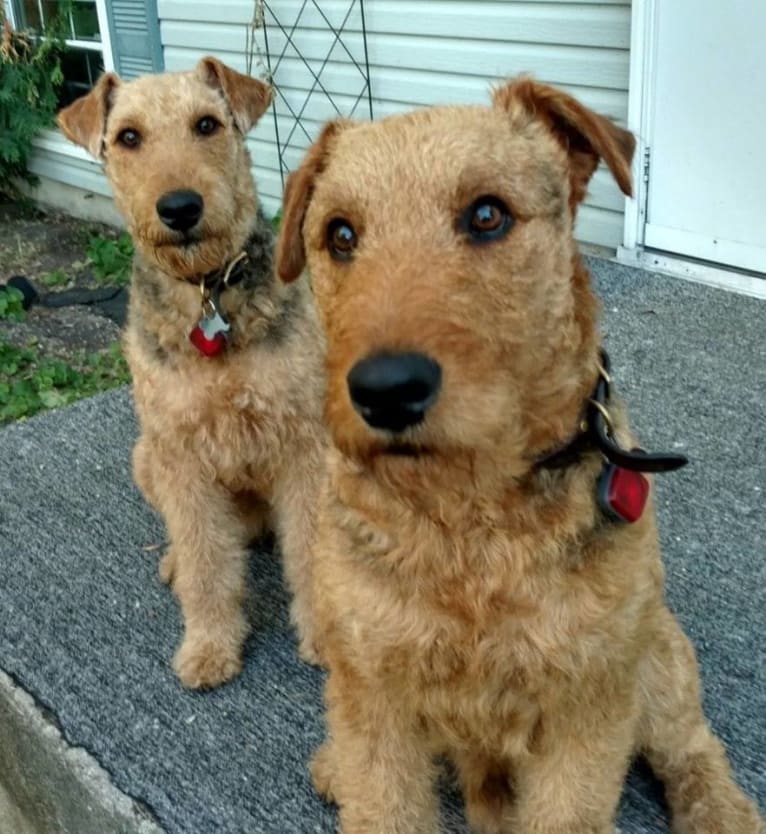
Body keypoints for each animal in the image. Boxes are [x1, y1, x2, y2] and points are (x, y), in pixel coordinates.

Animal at [57, 57, 328, 684]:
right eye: (128, 137)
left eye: (207, 124)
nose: (180, 208)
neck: (208, 292)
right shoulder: (181, 454)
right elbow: (206, 559)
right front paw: (208, 647)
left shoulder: (303, 443)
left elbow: (311, 549)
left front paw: (329, 640)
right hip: (146, 456)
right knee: (194, 541)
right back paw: (174, 564)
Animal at [274, 79, 760, 832]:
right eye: (340, 234)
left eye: (487, 214)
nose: (386, 391)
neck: (471, 516)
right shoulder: (375, 693)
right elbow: (381, 798)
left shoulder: (585, 708)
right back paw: (334, 766)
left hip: (654, 655)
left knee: (690, 745)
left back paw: (724, 812)